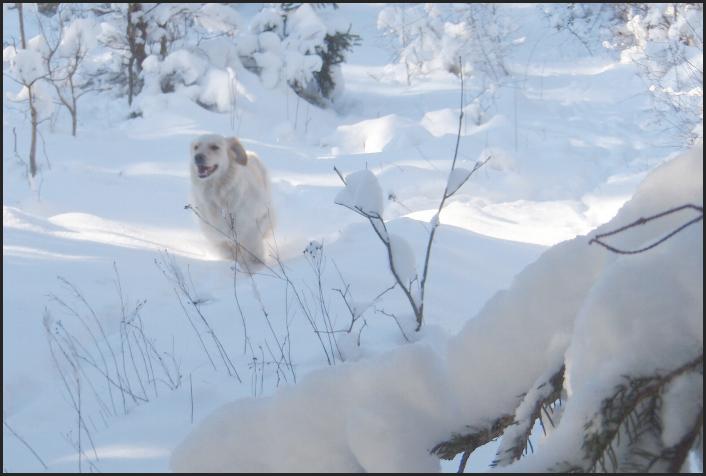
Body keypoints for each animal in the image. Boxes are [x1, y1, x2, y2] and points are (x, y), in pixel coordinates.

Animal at [190, 134, 272, 270]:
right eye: (196, 147)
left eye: (214, 147)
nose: (197, 157)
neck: (220, 194)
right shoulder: (216, 236)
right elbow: (227, 252)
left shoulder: (255, 221)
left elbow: (254, 250)